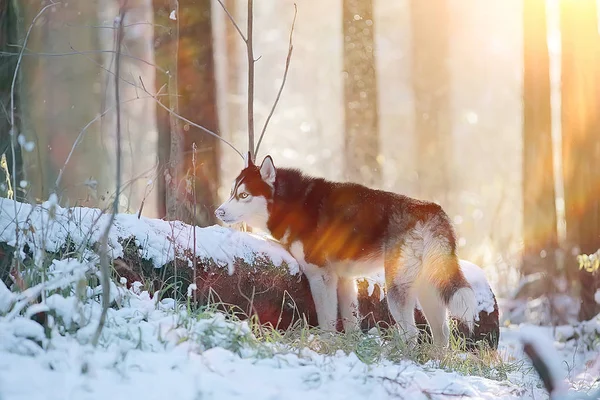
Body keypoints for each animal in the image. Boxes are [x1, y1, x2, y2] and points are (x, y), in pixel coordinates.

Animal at [213, 153, 476, 346]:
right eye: (232, 193)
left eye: (244, 195)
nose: (219, 211)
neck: (292, 205)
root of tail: (433, 211)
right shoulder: (344, 280)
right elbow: (350, 323)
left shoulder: (321, 275)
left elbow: (327, 320)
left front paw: (326, 345)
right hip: (428, 290)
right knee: (441, 335)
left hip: (397, 290)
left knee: (412, 333)